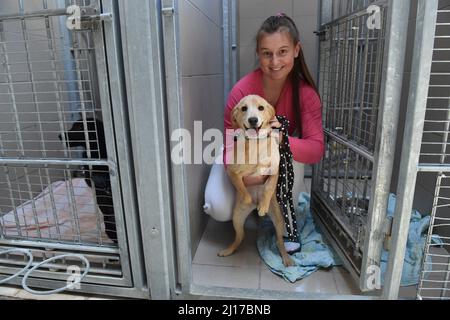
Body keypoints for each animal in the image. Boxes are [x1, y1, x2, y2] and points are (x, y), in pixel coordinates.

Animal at [219, 95, 294, 268]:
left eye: (261, 107)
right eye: (244, 108)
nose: (253, 120)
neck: (256, 143)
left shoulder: (274, 170)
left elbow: (268, 188)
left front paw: (263, 205)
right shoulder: (232, 171)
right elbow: (241, 186)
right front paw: (247, 198)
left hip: (279, 221)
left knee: (280, 242)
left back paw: (286, 257)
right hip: (237, 218)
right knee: (240, 236)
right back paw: (228, 250)